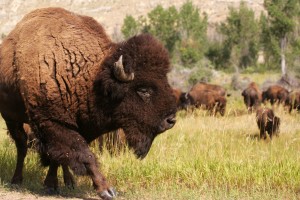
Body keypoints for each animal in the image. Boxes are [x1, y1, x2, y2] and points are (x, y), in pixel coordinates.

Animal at [0, 7, 177, 199]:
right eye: (144, 90)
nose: (171, 120)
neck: (89, 76)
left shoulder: (80, 127)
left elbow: (61, 156)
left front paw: (51, 185)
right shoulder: (53, 123)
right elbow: (84, 155)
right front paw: (107, 190)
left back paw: (69, 182)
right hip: (11, 118)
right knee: (21, 146)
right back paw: (17, 179)